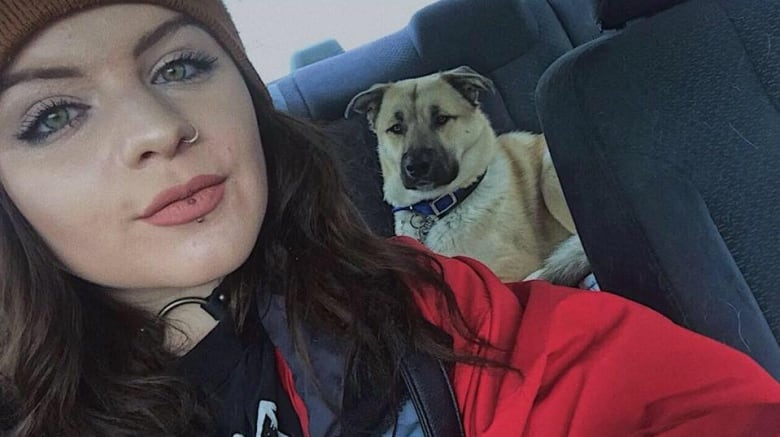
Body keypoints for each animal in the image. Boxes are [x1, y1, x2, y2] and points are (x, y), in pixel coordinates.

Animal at [348, 64, 592, 282]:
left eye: (441, 119)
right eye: (396, 128)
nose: (416, 167)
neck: (434, 211)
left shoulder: (512, 267)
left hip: (549, 176)